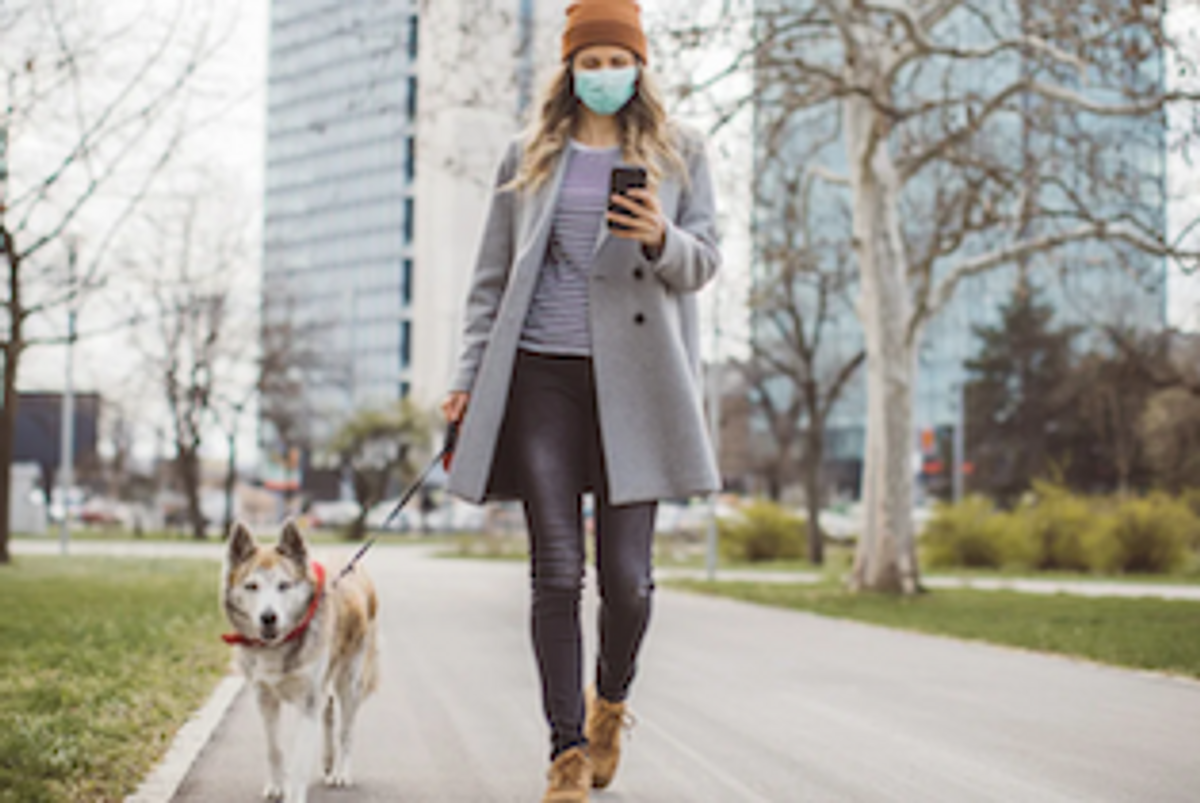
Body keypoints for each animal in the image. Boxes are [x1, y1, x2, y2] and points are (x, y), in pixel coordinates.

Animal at [223, 520, 376, 801]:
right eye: (252, 586)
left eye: (284, 585)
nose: (268, 617)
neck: (277, 646)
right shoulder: (265, 699)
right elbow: (274, 749)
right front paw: (276, 785)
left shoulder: (308, 702)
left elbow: (299, 761)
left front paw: (294, 793)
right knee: (328, 709)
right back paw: (328, 761)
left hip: (349, 680)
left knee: (346, 729)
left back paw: (340, 771)